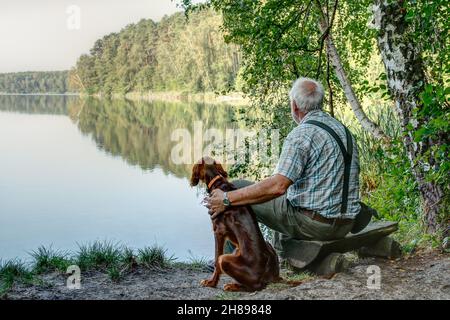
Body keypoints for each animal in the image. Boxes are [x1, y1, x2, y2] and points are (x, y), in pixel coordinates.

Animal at [191, 156, 282, 292]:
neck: (217, 182)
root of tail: (269, 277)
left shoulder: (218, 231)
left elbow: (216, 260)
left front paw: (211, 283)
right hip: (266, 245)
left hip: (225, 259)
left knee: (255, 286)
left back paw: (233, 285)